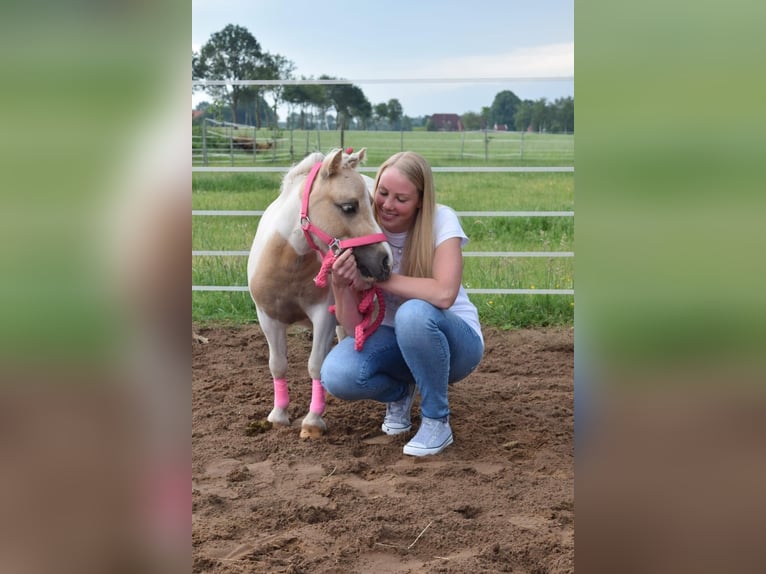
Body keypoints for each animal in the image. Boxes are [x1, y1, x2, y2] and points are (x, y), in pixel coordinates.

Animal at [248, 150, 392, 440]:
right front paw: (278, 416)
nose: (384, 260)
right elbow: (277, 364)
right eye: (348, 207)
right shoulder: (268, 318)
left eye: (373, 204)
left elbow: (315, 365)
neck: (287, 265)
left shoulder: (322, 317)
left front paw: (312, 422)